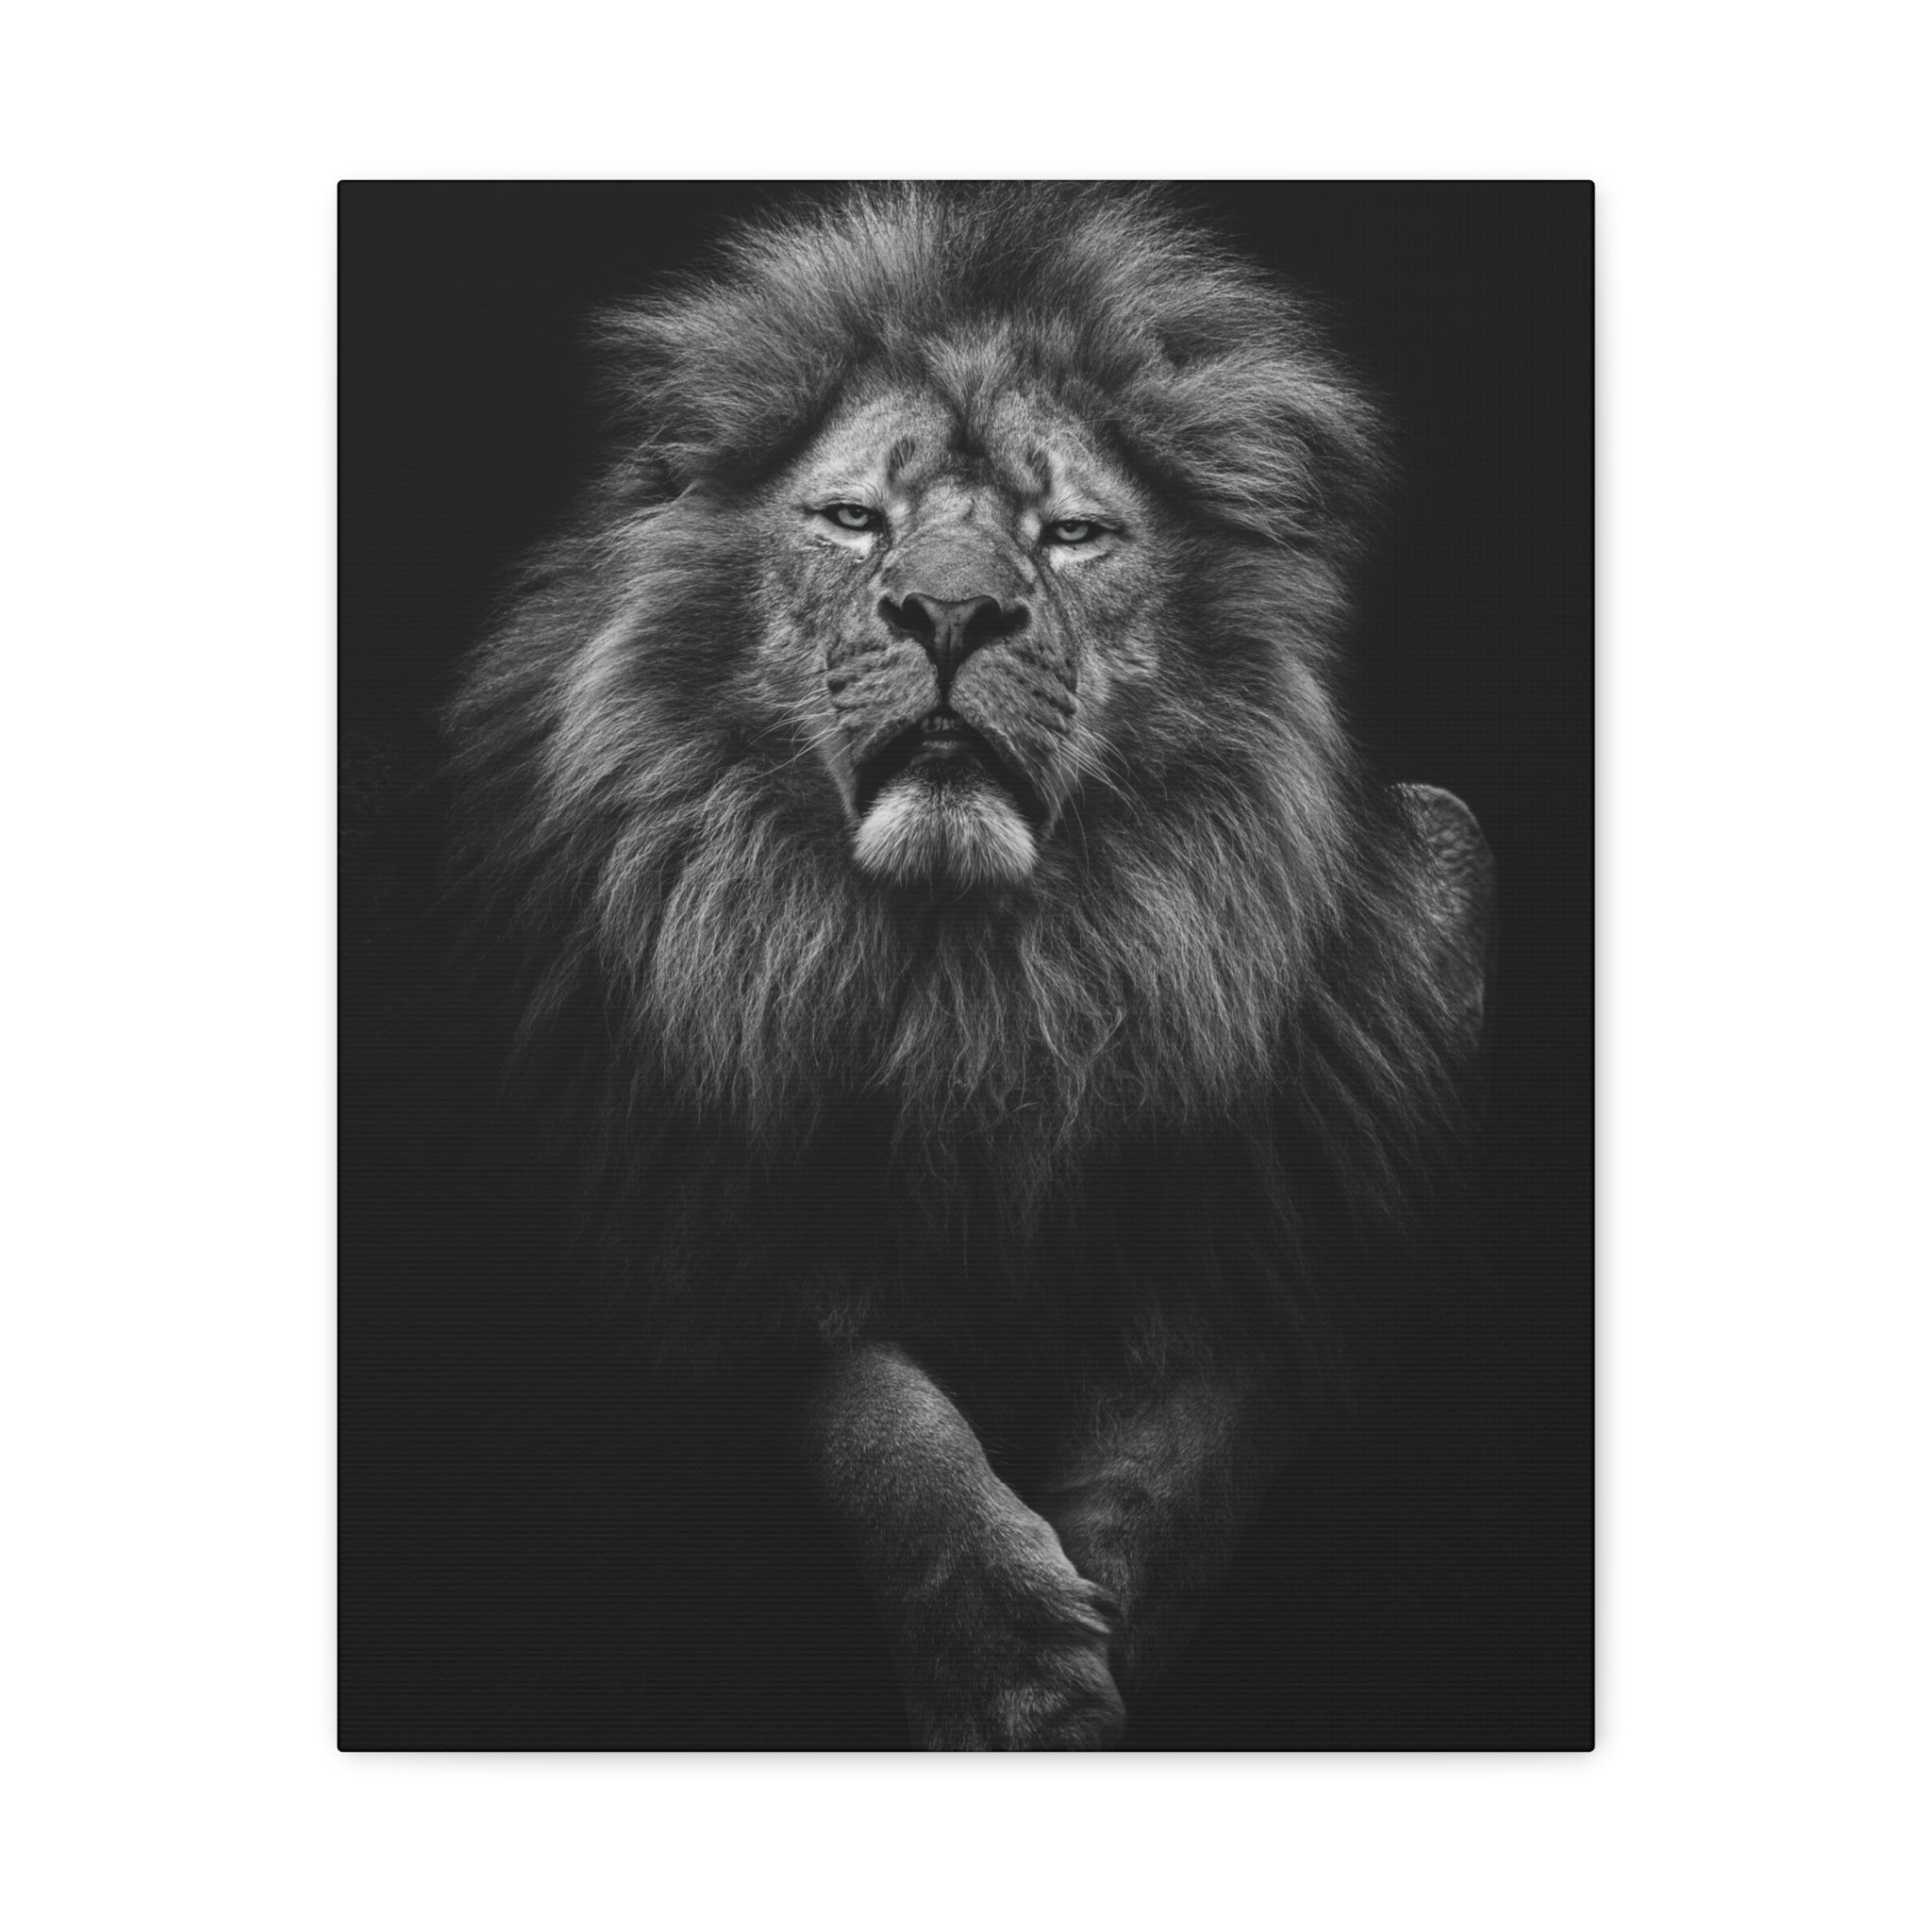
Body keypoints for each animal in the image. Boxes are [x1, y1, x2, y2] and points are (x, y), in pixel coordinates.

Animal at [445, 183, 1493, 1749]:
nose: (949, 614)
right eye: (852, 519)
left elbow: (1192, 1437)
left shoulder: (1297, 1202)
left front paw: (1102, 1620)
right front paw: (1007, 1659)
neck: (979, 978)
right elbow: (878, 1412)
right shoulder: (705, 1214)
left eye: (1073, 533)